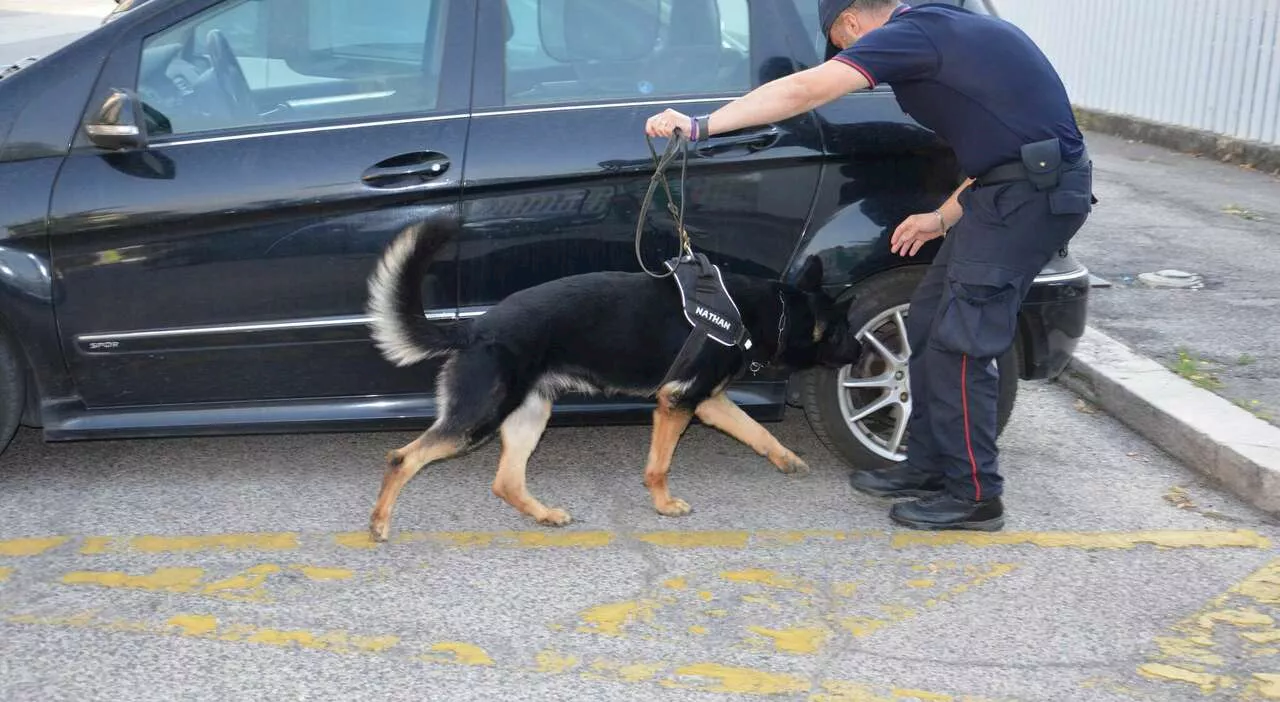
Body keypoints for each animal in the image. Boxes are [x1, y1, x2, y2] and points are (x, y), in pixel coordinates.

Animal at [363, 211, 860, 540]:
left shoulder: (708, 402)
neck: (771, 313)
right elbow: (659, 466)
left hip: (528, 417)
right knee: (402, 458)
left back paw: (545, 515)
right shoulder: (676, 402)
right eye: (843, 332)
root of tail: (477, 327)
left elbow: (757, 431)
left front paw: (786, 458)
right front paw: (663, 504)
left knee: (505, 481)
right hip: (478, 419)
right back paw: (380, 522)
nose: (860, 354)